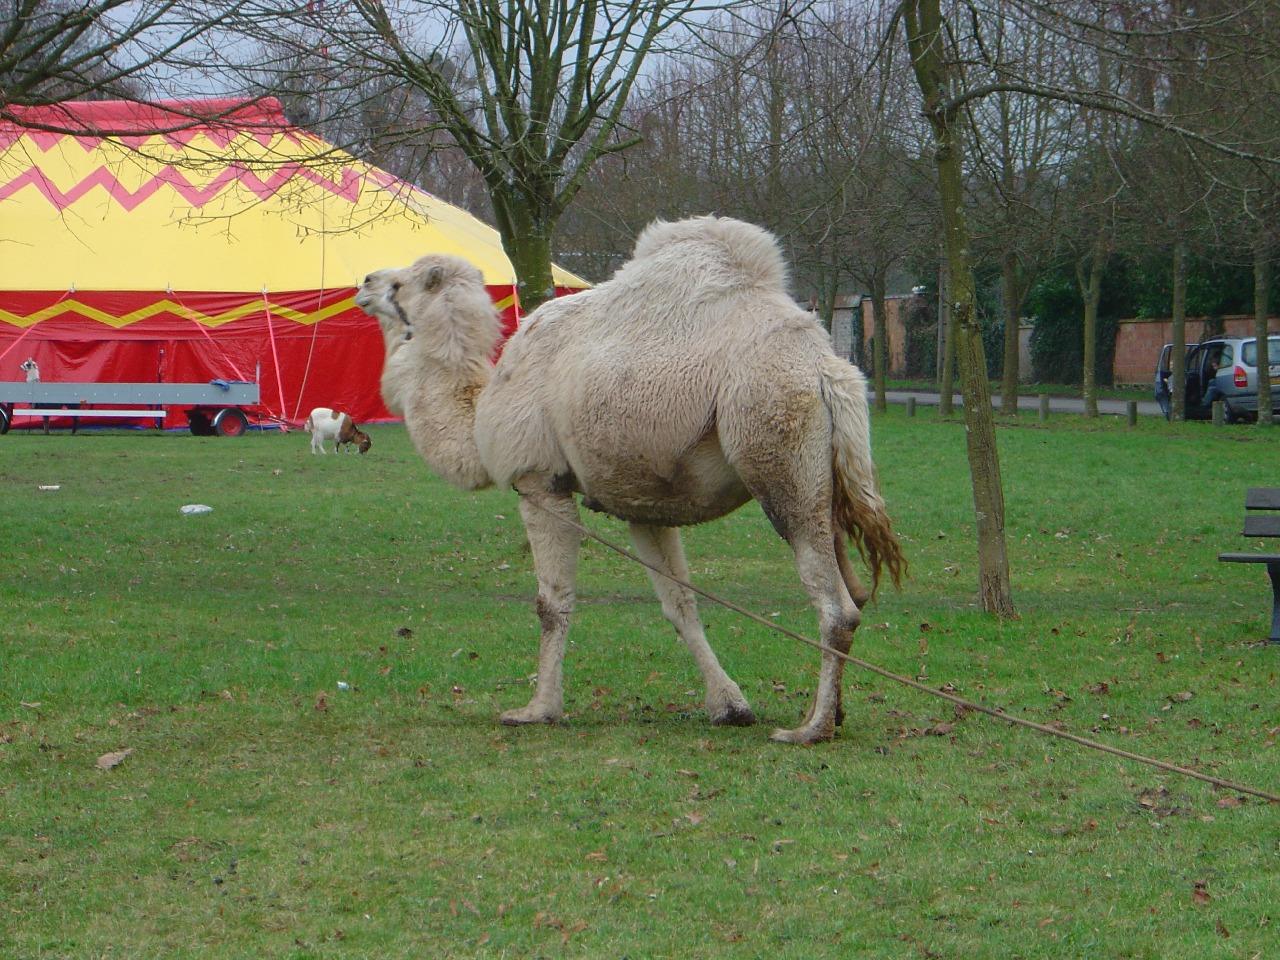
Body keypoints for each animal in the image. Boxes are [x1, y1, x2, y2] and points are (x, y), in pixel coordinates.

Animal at [355, 216, 906, 742]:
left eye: (400, 284)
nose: (364, 280)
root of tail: (829, 369)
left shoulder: (540, 482)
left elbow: (552, 603)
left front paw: (537, 710)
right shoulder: (643, 503)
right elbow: (679, 603)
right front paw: (730, 707)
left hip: (777, 450)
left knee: (836, 604)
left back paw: (809, 730)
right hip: (822, 479)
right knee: (855, 590)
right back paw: (830, 714)